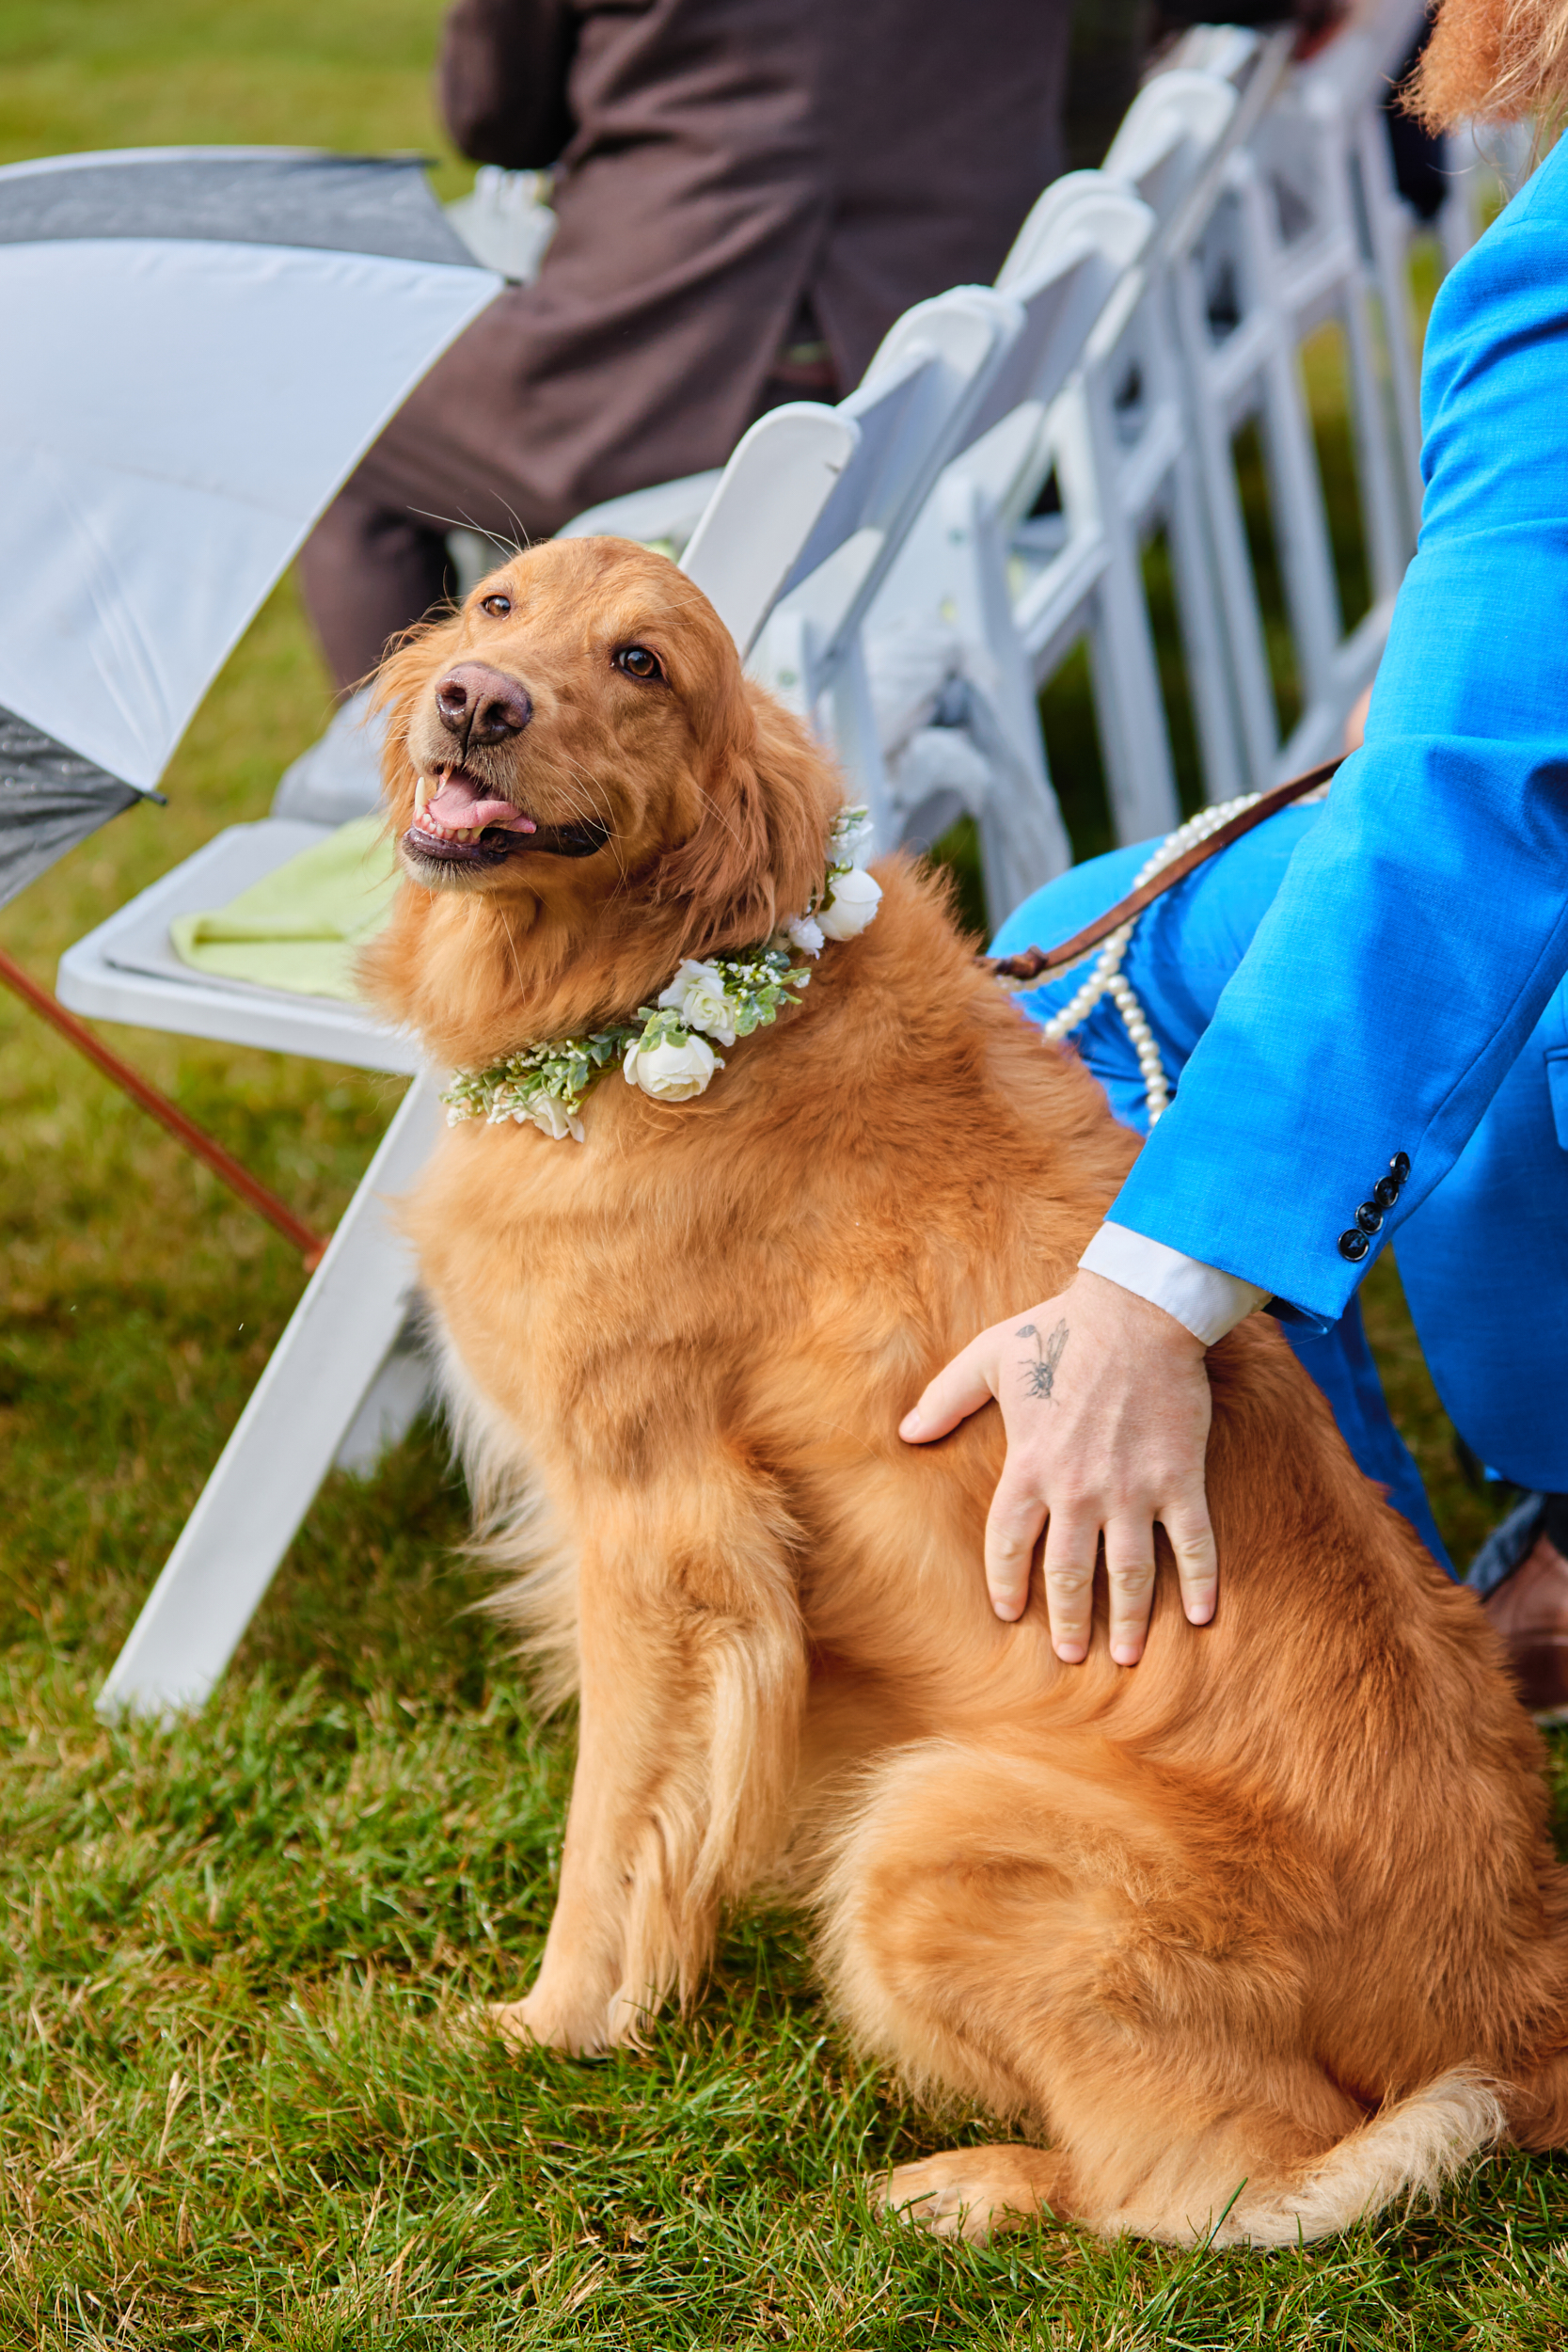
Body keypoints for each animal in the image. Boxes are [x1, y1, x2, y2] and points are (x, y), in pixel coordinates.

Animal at [361, 533, 1568, 2239]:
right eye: (496, 606)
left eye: (643, 662)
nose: (474, 699)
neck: (657, 988)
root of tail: (1527, 2007)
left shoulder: (661, 1535)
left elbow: (609, 1837)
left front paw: (549, 2029)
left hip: (925, 1832)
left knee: (1227, 2180)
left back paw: (974, 2183)